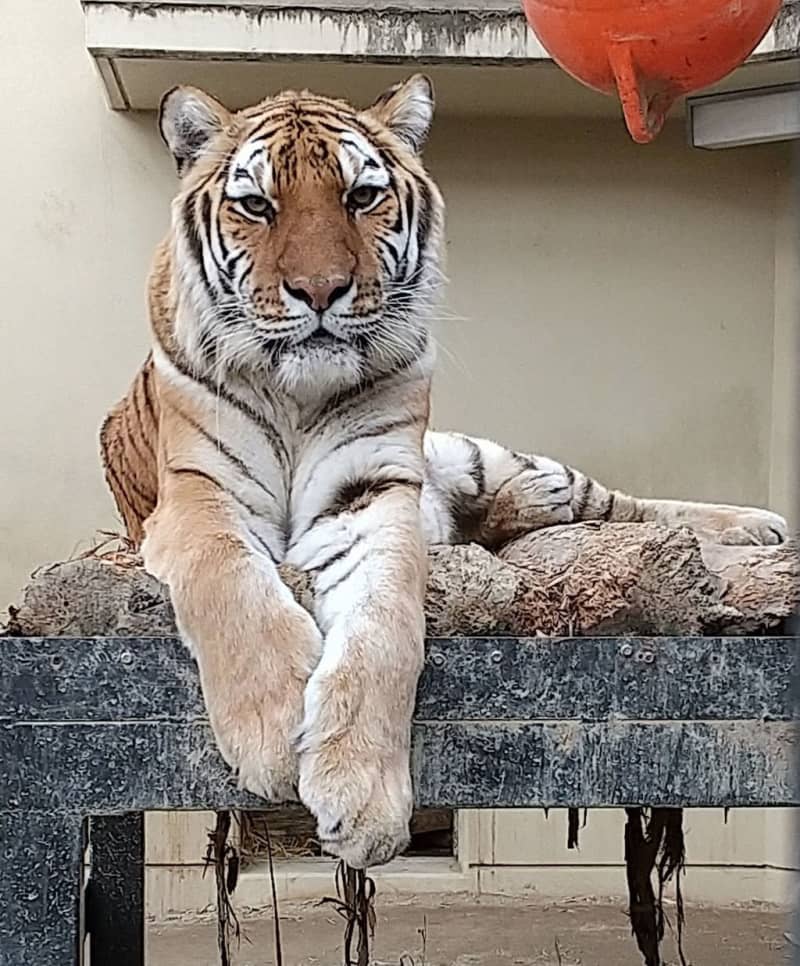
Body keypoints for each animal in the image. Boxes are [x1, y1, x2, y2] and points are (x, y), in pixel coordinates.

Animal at [100, 75, 788, 872]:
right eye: (257, 205)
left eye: (361, 196)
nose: (320, 290)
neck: (296, 394)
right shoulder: (197, 493)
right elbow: (229, 580)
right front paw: (273, 729)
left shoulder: (375, 494)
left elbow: (382, 631)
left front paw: (363, 800)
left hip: (494, 458)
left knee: (628, 507)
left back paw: (749, 527)